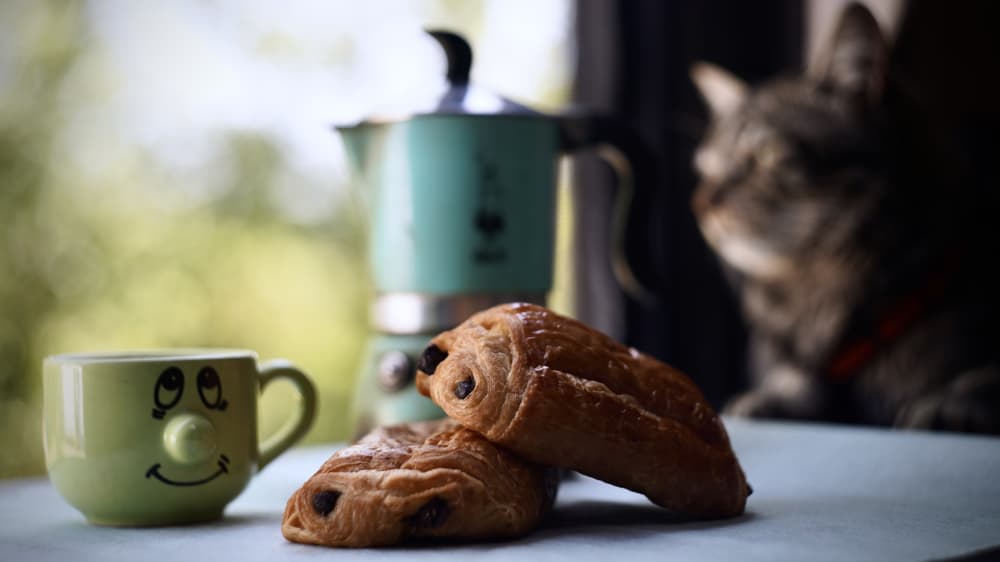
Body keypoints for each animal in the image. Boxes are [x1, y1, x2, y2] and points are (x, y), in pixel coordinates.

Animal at [692, 2, 1000, 430]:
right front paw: (778, 395)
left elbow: (983, 377)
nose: (701, 203)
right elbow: (793, 384)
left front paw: (955, 401)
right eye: (705, 171)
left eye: (767, 155)